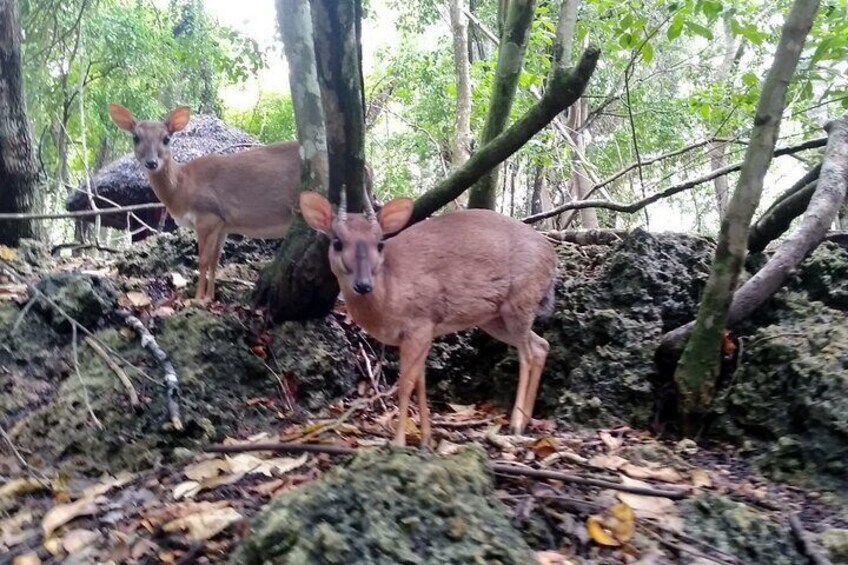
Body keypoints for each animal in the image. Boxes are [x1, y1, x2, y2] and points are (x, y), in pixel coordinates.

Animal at [107, 103, 298, 302]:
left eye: (166, 138)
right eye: (136, 137)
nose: (151, 163)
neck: (182, 188)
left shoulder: (208, 215)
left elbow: (203, 260)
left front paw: (198, 298)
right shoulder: (223, 225)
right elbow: (215, 261)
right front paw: (210, 297)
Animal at [302, 189, 560, 446]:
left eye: (380, 243)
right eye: (337, 242)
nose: (363, 284)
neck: (389, 290)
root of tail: (551, 255)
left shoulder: (419, 324)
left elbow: (406, 383)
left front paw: (399, 442)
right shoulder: (424, 332)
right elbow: (421, 381)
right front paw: (426, 438)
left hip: (521, 300)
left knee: (527, 354)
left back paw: (516, 423)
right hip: (493, 318)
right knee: (541, 345)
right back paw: (527, 421)